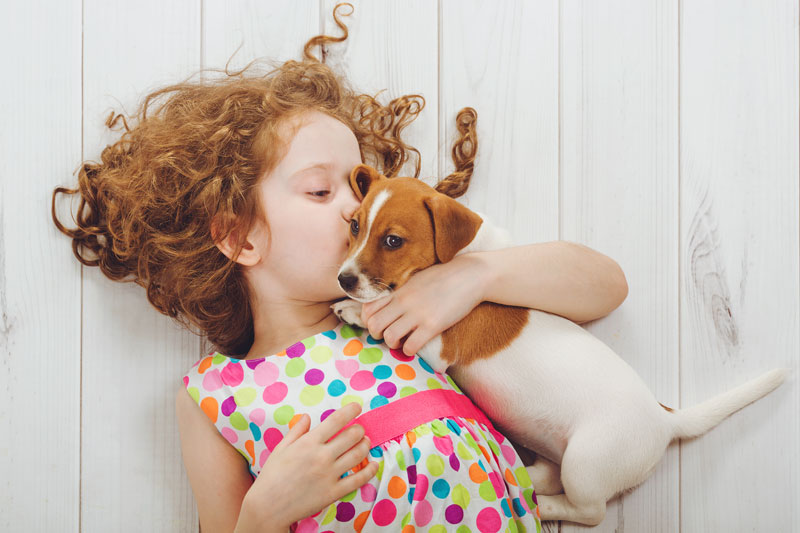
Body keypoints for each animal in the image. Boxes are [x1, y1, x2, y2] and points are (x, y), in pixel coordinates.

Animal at [330, 162, 788, 524]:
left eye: (393, 240)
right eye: (354, 226)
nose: (343, 279)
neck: (464, 254)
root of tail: (665, 419)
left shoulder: (435, 343)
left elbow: (384, 303)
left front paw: (354, 309)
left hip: (588, 463)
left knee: (591, 510)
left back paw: (543, 505)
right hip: (563, 456)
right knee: (549, 474)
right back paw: (522, 478)